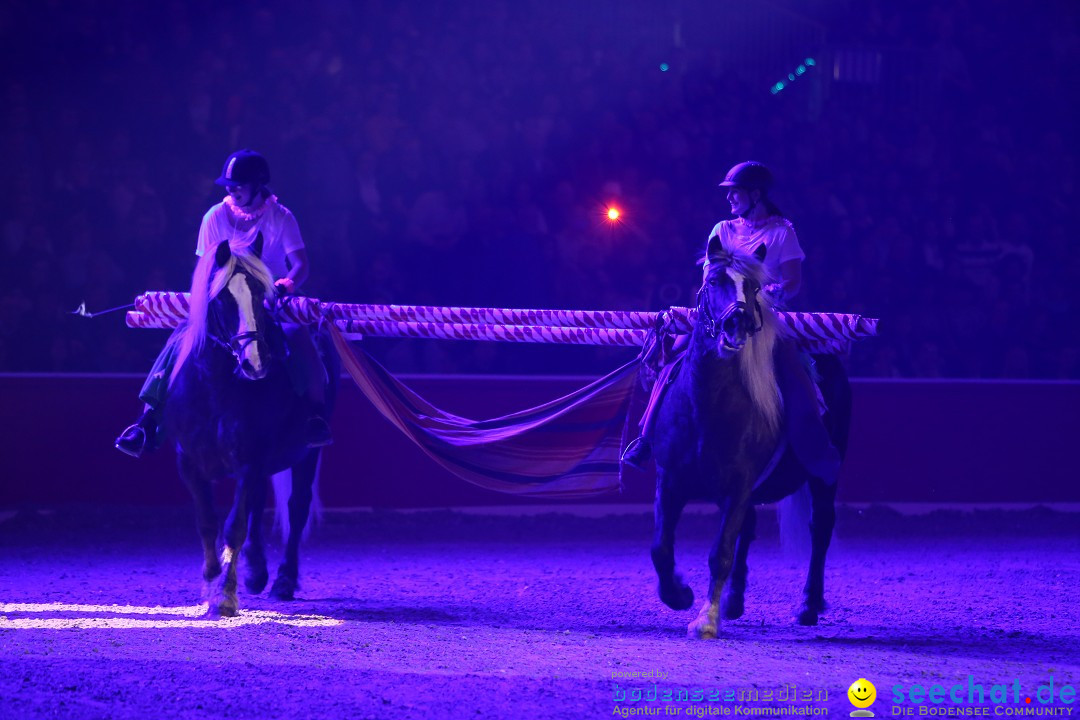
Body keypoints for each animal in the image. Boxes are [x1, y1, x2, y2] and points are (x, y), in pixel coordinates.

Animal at [163, 237, 336, 621]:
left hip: (308, 453)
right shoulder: (188, 464)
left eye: (262, 296)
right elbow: (207, 522)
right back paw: (256, 572)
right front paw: (210, 581)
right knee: (257, 505)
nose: (255, 363)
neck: (215, 386)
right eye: (222, 298)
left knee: (296, 507)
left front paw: (225, 594)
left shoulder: (250, 459)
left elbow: (234, 525)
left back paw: (283, 580)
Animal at [648, 236, 851, 634]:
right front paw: (679, 594)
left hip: (824, 476)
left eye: (755, 288)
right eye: (713, 281)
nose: (737, 322)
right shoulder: (670, 480)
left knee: (820, 528)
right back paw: (735, 601)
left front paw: (705, 619)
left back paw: (809, 605)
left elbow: (721, 552)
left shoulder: (738, 485)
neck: (705, 406)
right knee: (750, 528)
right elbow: (660, 549)